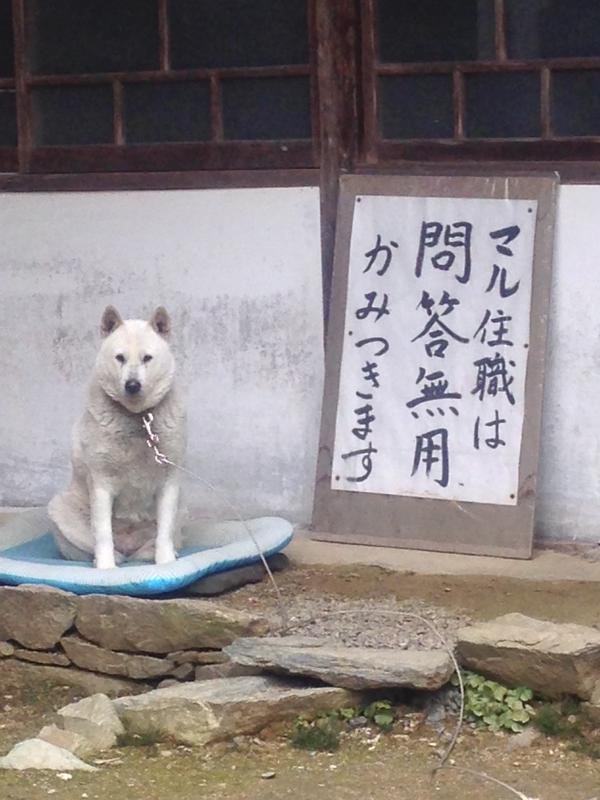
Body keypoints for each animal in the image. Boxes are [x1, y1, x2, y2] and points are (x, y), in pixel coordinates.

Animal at [48, 304, 186, 568]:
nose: (132, 385)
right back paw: (105, 559)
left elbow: (165, 530)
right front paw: (106, 567)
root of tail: (130, 548)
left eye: (147, 358)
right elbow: (102, 532)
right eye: (120, 357)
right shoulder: (101, 482)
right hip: (60, 508)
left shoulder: (170, 481)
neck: (138, 418)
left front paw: (165, 563)